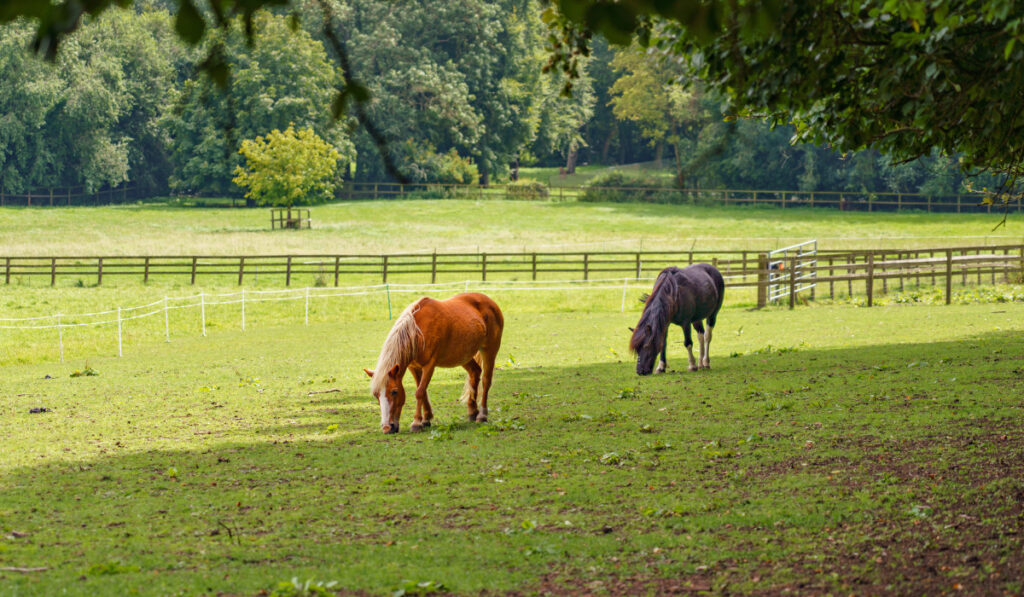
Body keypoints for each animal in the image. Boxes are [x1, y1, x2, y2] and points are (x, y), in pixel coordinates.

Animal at [362, 292, 501, 432]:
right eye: (375, 394)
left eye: (394, 392)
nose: (387, 428)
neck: (417, 332)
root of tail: (490, 301)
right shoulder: (413, 367)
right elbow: (422, 391)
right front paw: (426, 419)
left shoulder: (429, 366)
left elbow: (419, 392)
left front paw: (416, 423)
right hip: (464, 356)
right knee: (475, 372)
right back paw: (472, 412)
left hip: (489, 350)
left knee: (486, 380)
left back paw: (482, 415)